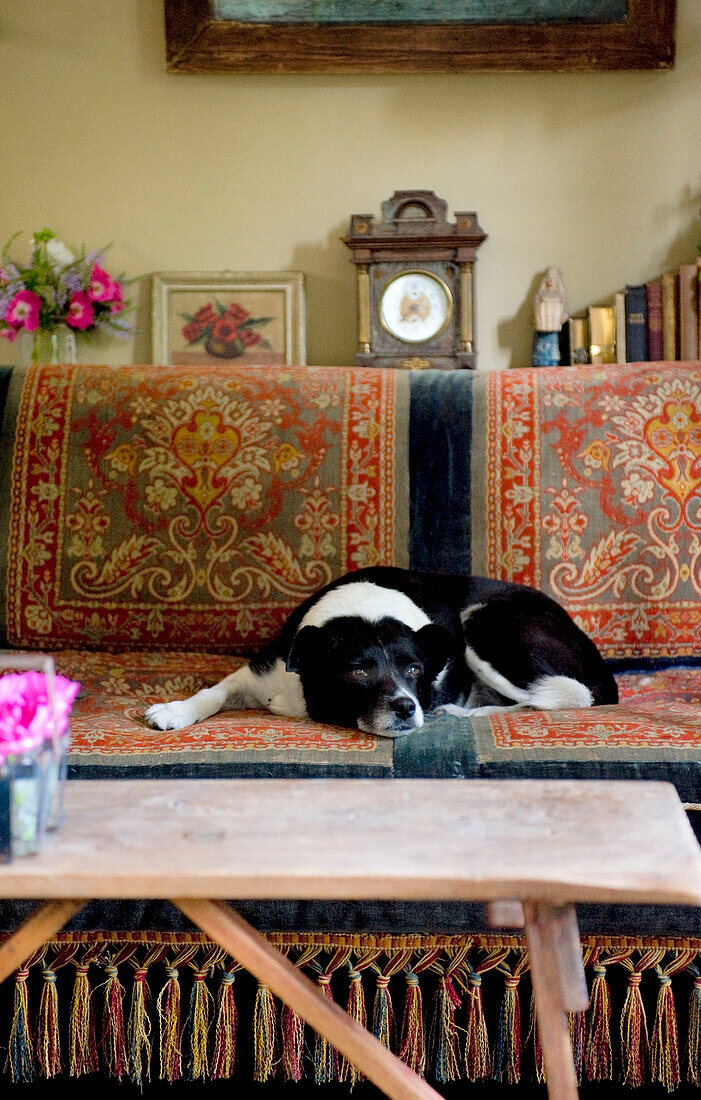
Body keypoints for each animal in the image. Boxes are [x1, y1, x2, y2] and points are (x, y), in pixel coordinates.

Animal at [145, 567, 616, 739]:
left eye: (414, 669)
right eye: (358, 672)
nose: (407, 707)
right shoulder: (262, 670)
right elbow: (214, 691)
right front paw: (174, 711)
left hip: (482, 623)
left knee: (564, 697)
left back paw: (463, 711)